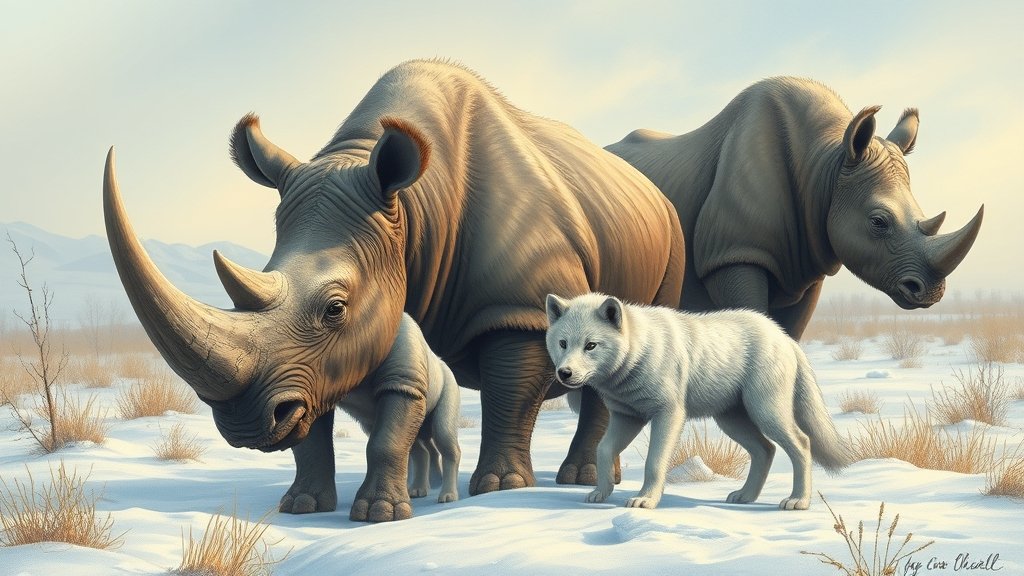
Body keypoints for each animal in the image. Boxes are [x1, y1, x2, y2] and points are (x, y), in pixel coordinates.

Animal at [103, 59, 685, 521]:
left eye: (335, 308)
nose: (245, 425)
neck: (411, 209)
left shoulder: (517, 309)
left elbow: (509, 396)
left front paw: (500, 489)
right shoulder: (315, 362)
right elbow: (313, 418)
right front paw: (302, 507)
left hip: (672, 228)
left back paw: (578, 480)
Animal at [544, 293, 850, 510]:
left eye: (590, 346)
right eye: (563, 343)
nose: (564, 373)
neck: (639, 351)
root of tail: (785, 337)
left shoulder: (669, 414)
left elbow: (654, 462)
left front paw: (646, 501)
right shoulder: (627, 417)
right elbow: (604, 450)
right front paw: (600, 492)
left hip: (766, 411)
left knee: (802, 443)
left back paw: (798, 501)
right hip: (732, 420)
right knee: (766, 449)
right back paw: (745, 496)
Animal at [606, 76, 983, 338]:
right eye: (878, 222)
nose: (931, 291)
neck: (826, 165)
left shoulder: (809, 264)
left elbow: (791, 341)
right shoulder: (733, 253)